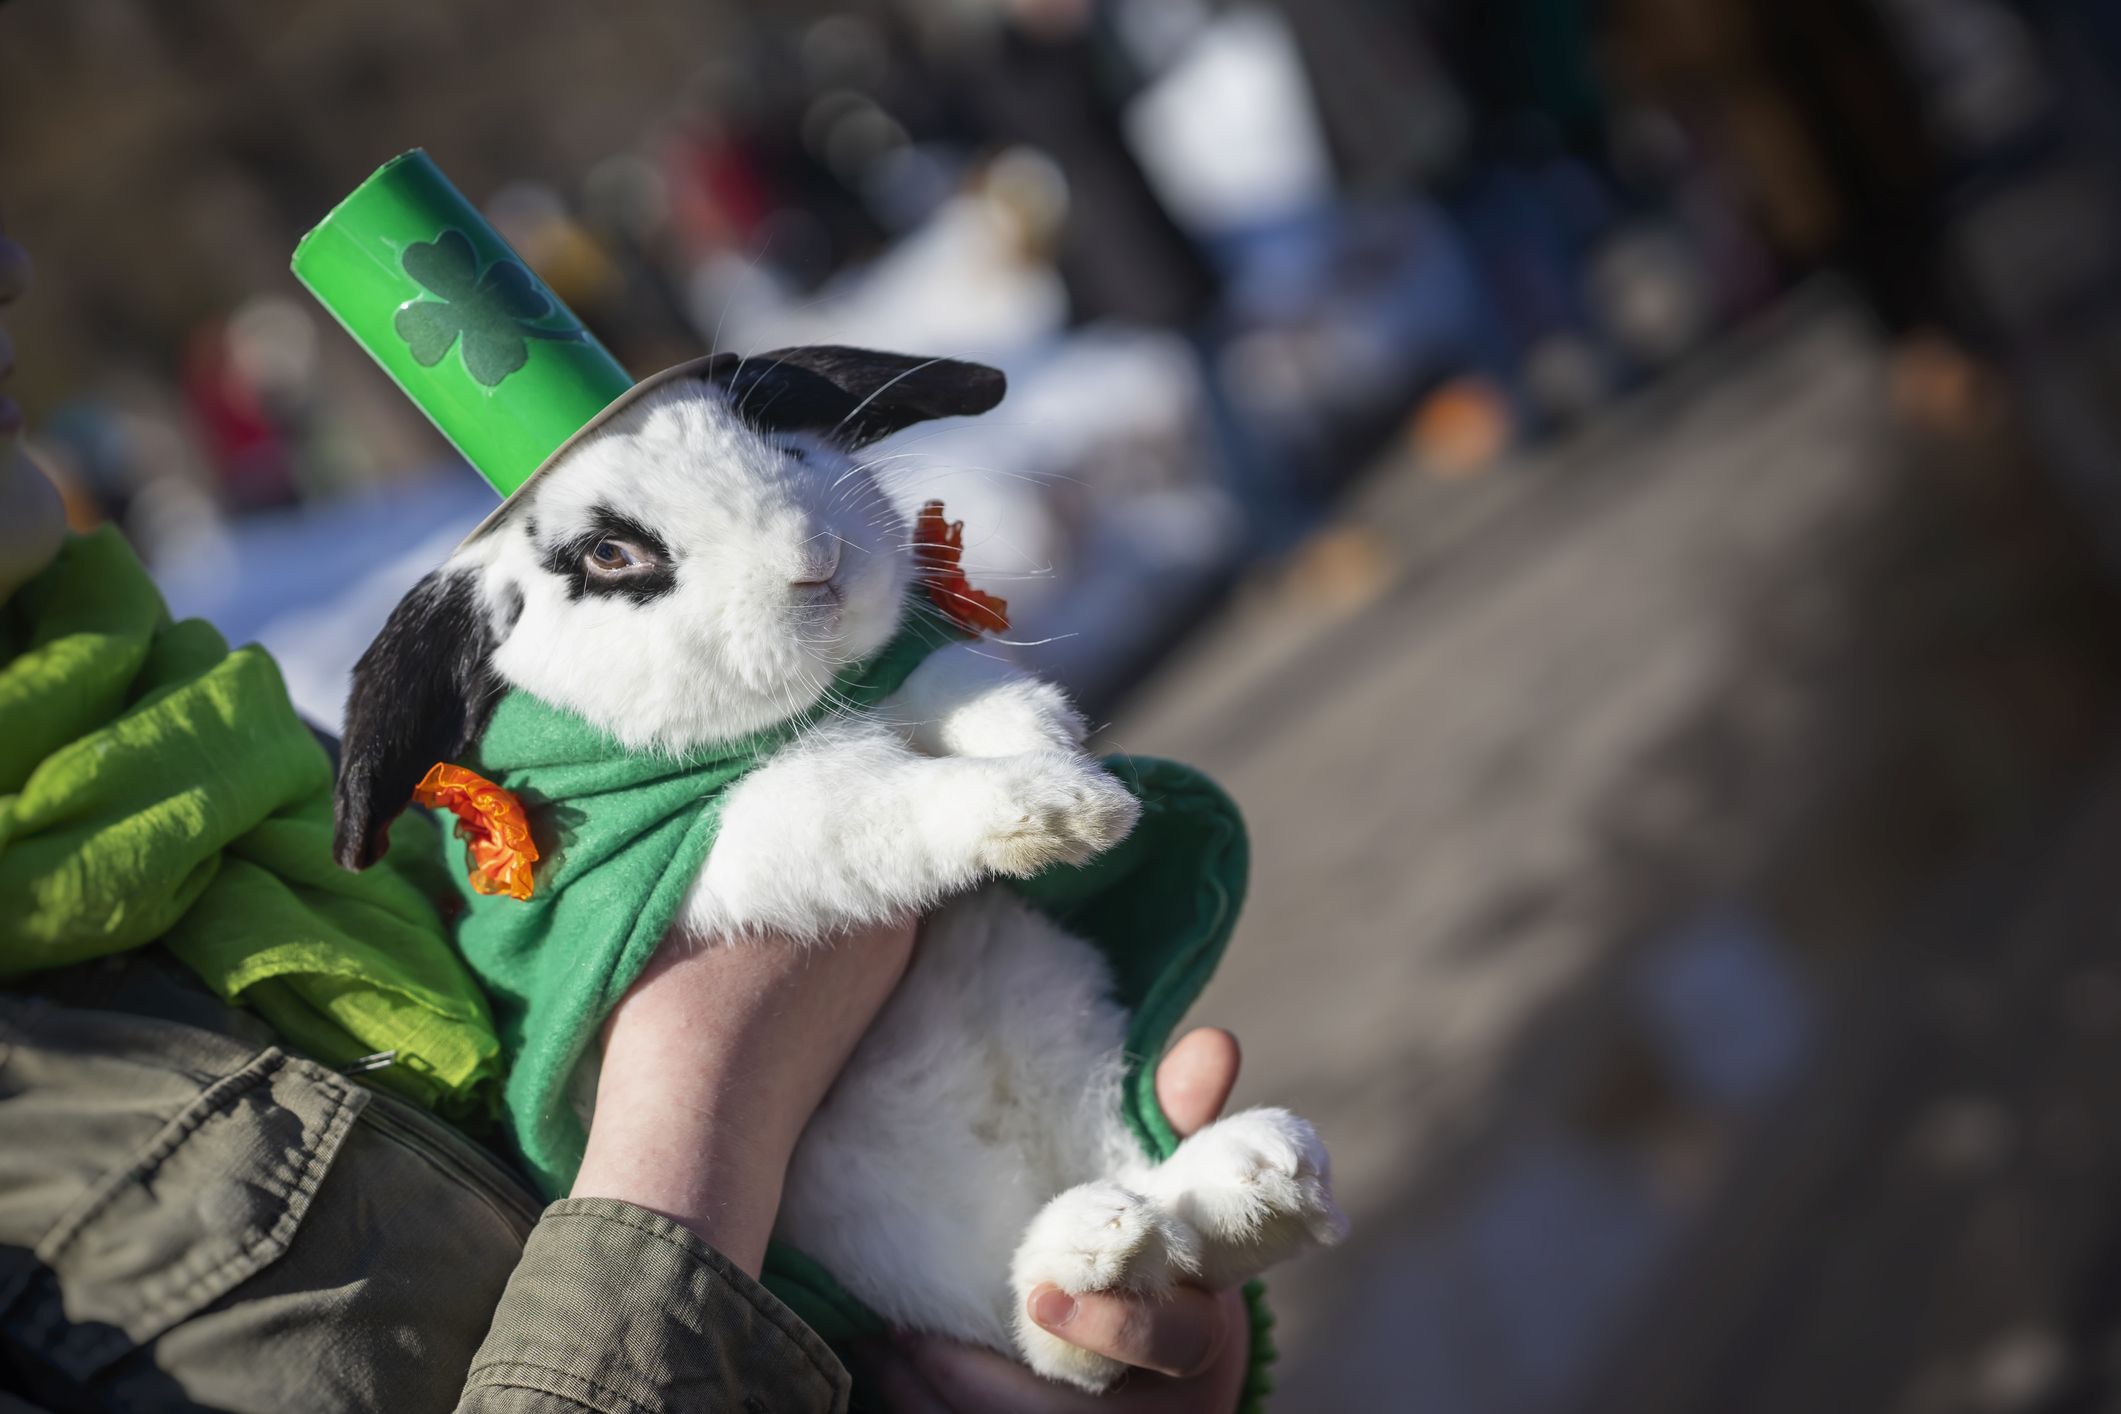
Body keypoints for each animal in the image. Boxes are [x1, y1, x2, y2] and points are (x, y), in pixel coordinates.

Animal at [339, 347, 1348, 1390]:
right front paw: (1060, 808)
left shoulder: (897, 685)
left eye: (781, 444)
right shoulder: (720, 846)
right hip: (889, 1241)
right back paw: (1108, 1241)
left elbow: (944, 684)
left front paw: (1044, 737)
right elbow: (860, 802)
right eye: (611, 556)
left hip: (1058, 1030)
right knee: (1048, 1329)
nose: (812, 558)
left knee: (1127, 1230)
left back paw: (1252, 1180)